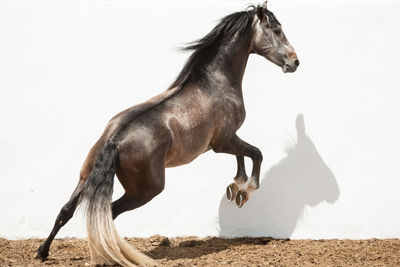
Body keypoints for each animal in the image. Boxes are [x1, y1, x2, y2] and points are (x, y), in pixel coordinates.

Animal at [37, 2, 298, 267]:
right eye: (277, 30)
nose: (295, 62)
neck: (215, 83)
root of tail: (114, 140)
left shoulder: (229, 139)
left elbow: (243, 157)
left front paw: (235, 187)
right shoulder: (223, 141)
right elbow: (256, 154)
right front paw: (244, 191)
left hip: (85, 177)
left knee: (66, 211)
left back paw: (43, 252)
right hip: (145, 191)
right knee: (109, 213)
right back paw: (114, 254)